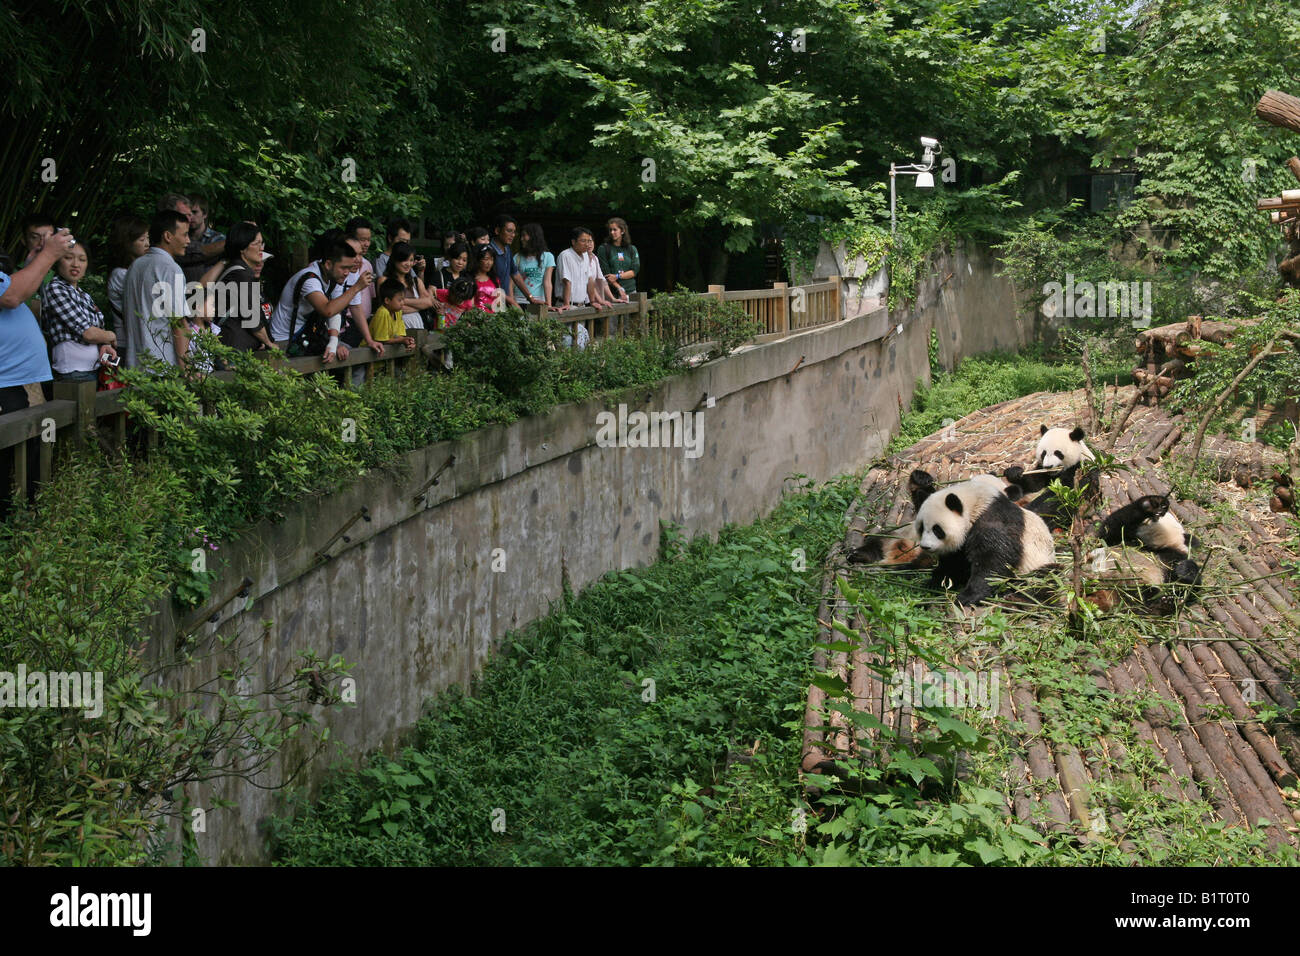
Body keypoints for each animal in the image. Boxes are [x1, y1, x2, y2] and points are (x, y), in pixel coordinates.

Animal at [911, 470, 1056, 606]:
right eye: (921, 528)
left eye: (937, 530)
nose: (925, 546)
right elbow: (955, 562)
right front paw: (936, 580)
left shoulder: (993, 521)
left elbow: (993, 561)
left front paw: (968, 596)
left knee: (1044, 579)